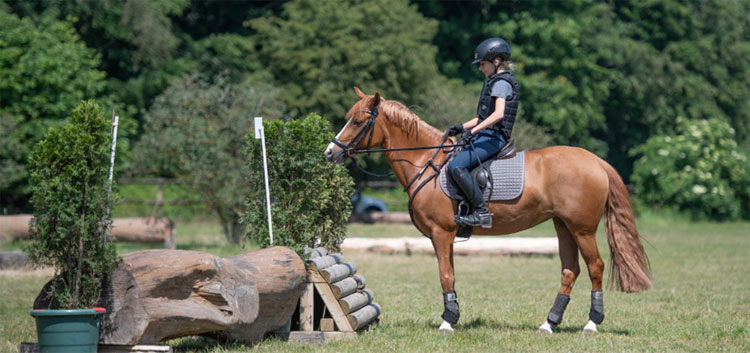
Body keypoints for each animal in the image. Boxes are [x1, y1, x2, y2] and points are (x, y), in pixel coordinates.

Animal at [324, 87, 652, 332]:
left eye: (357, 122)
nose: (330, 153)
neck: (424, 162)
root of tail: (596, 161)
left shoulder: (441, 233)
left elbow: (445, 276)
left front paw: (447, 322)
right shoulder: (446, 235)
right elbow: (450, 274)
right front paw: (453, 315)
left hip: (582, 228)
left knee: (596, 267)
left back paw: (591, 323)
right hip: (563, 226)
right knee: (570, 271)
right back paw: (549, 323)